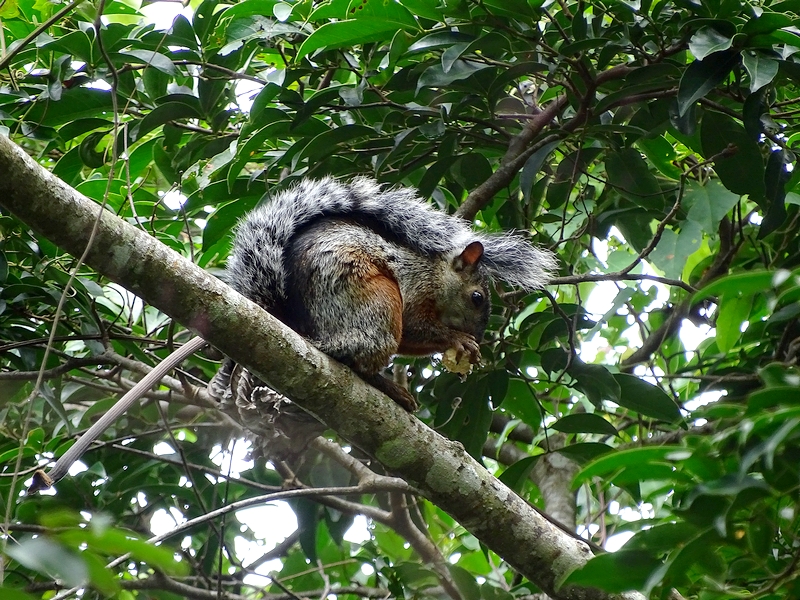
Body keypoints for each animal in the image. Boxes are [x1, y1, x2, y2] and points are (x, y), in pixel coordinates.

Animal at [214, 177, 556, 412]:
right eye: (477, 298)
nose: (480, 336)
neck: (438, 276)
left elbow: (411, 340)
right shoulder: (416, 288)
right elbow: (416, 326)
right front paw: (459, 340)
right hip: (373, 298)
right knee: (358, 355)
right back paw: (390, 388)